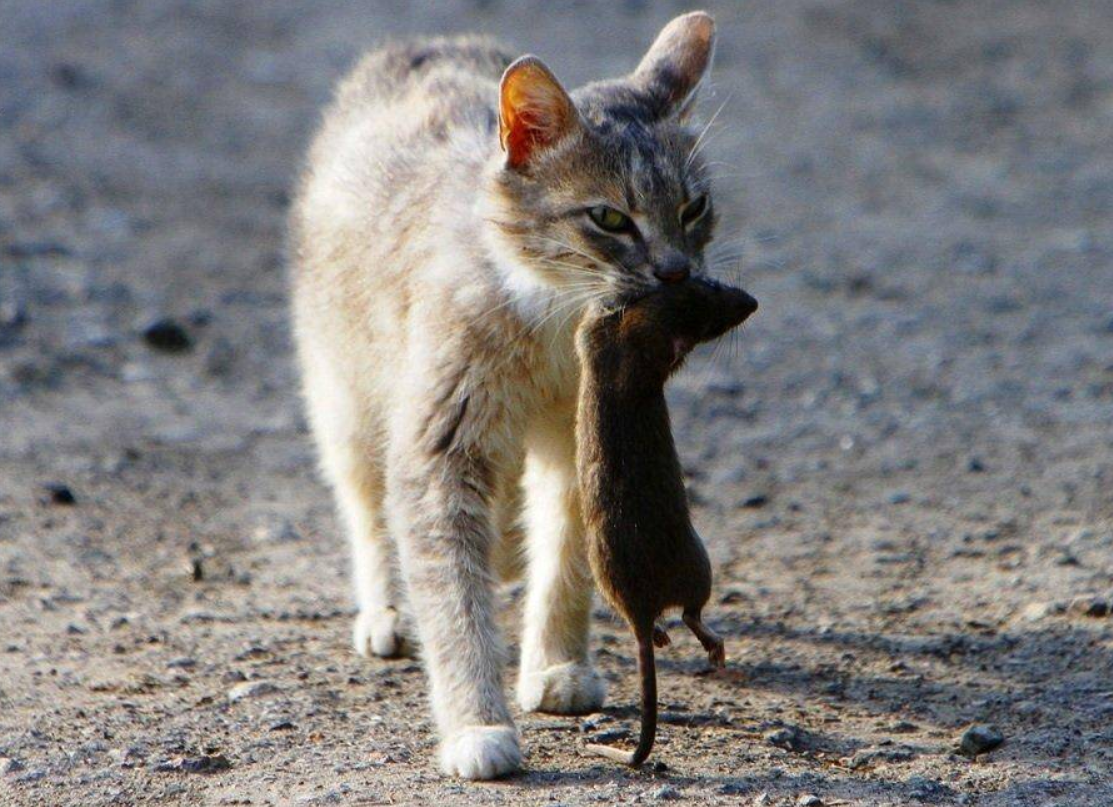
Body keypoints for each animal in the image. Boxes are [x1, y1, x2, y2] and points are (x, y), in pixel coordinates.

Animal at [291, 12, 716, 779]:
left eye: (692, 208)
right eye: (610, 219)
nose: (674, 272)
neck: (554, 320)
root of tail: (423, 42)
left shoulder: (581, 449)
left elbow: (566, 563)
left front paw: (555, 663)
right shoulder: (437, 449)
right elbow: (454, 603)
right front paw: (475, 722)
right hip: (346, 402)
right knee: (368, 513)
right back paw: (385, 610)